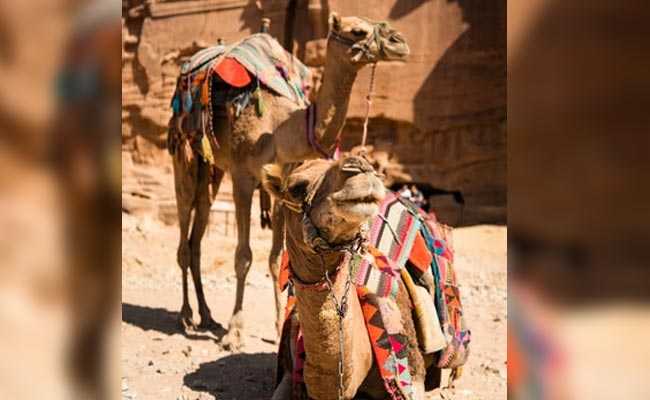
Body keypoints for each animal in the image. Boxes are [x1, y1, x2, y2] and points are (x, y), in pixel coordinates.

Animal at [170, 14, 408, 346]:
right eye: (357, 30)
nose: (400, 42)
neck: (280, 129)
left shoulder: (283, 189)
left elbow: (275, 257)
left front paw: (277, 325)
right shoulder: (243, 176)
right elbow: (243, 256)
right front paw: (235, 332)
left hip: (212, 169)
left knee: (198, 230)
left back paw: (206, 315)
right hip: (186, 154)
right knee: (184, 221)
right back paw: (186, 316)